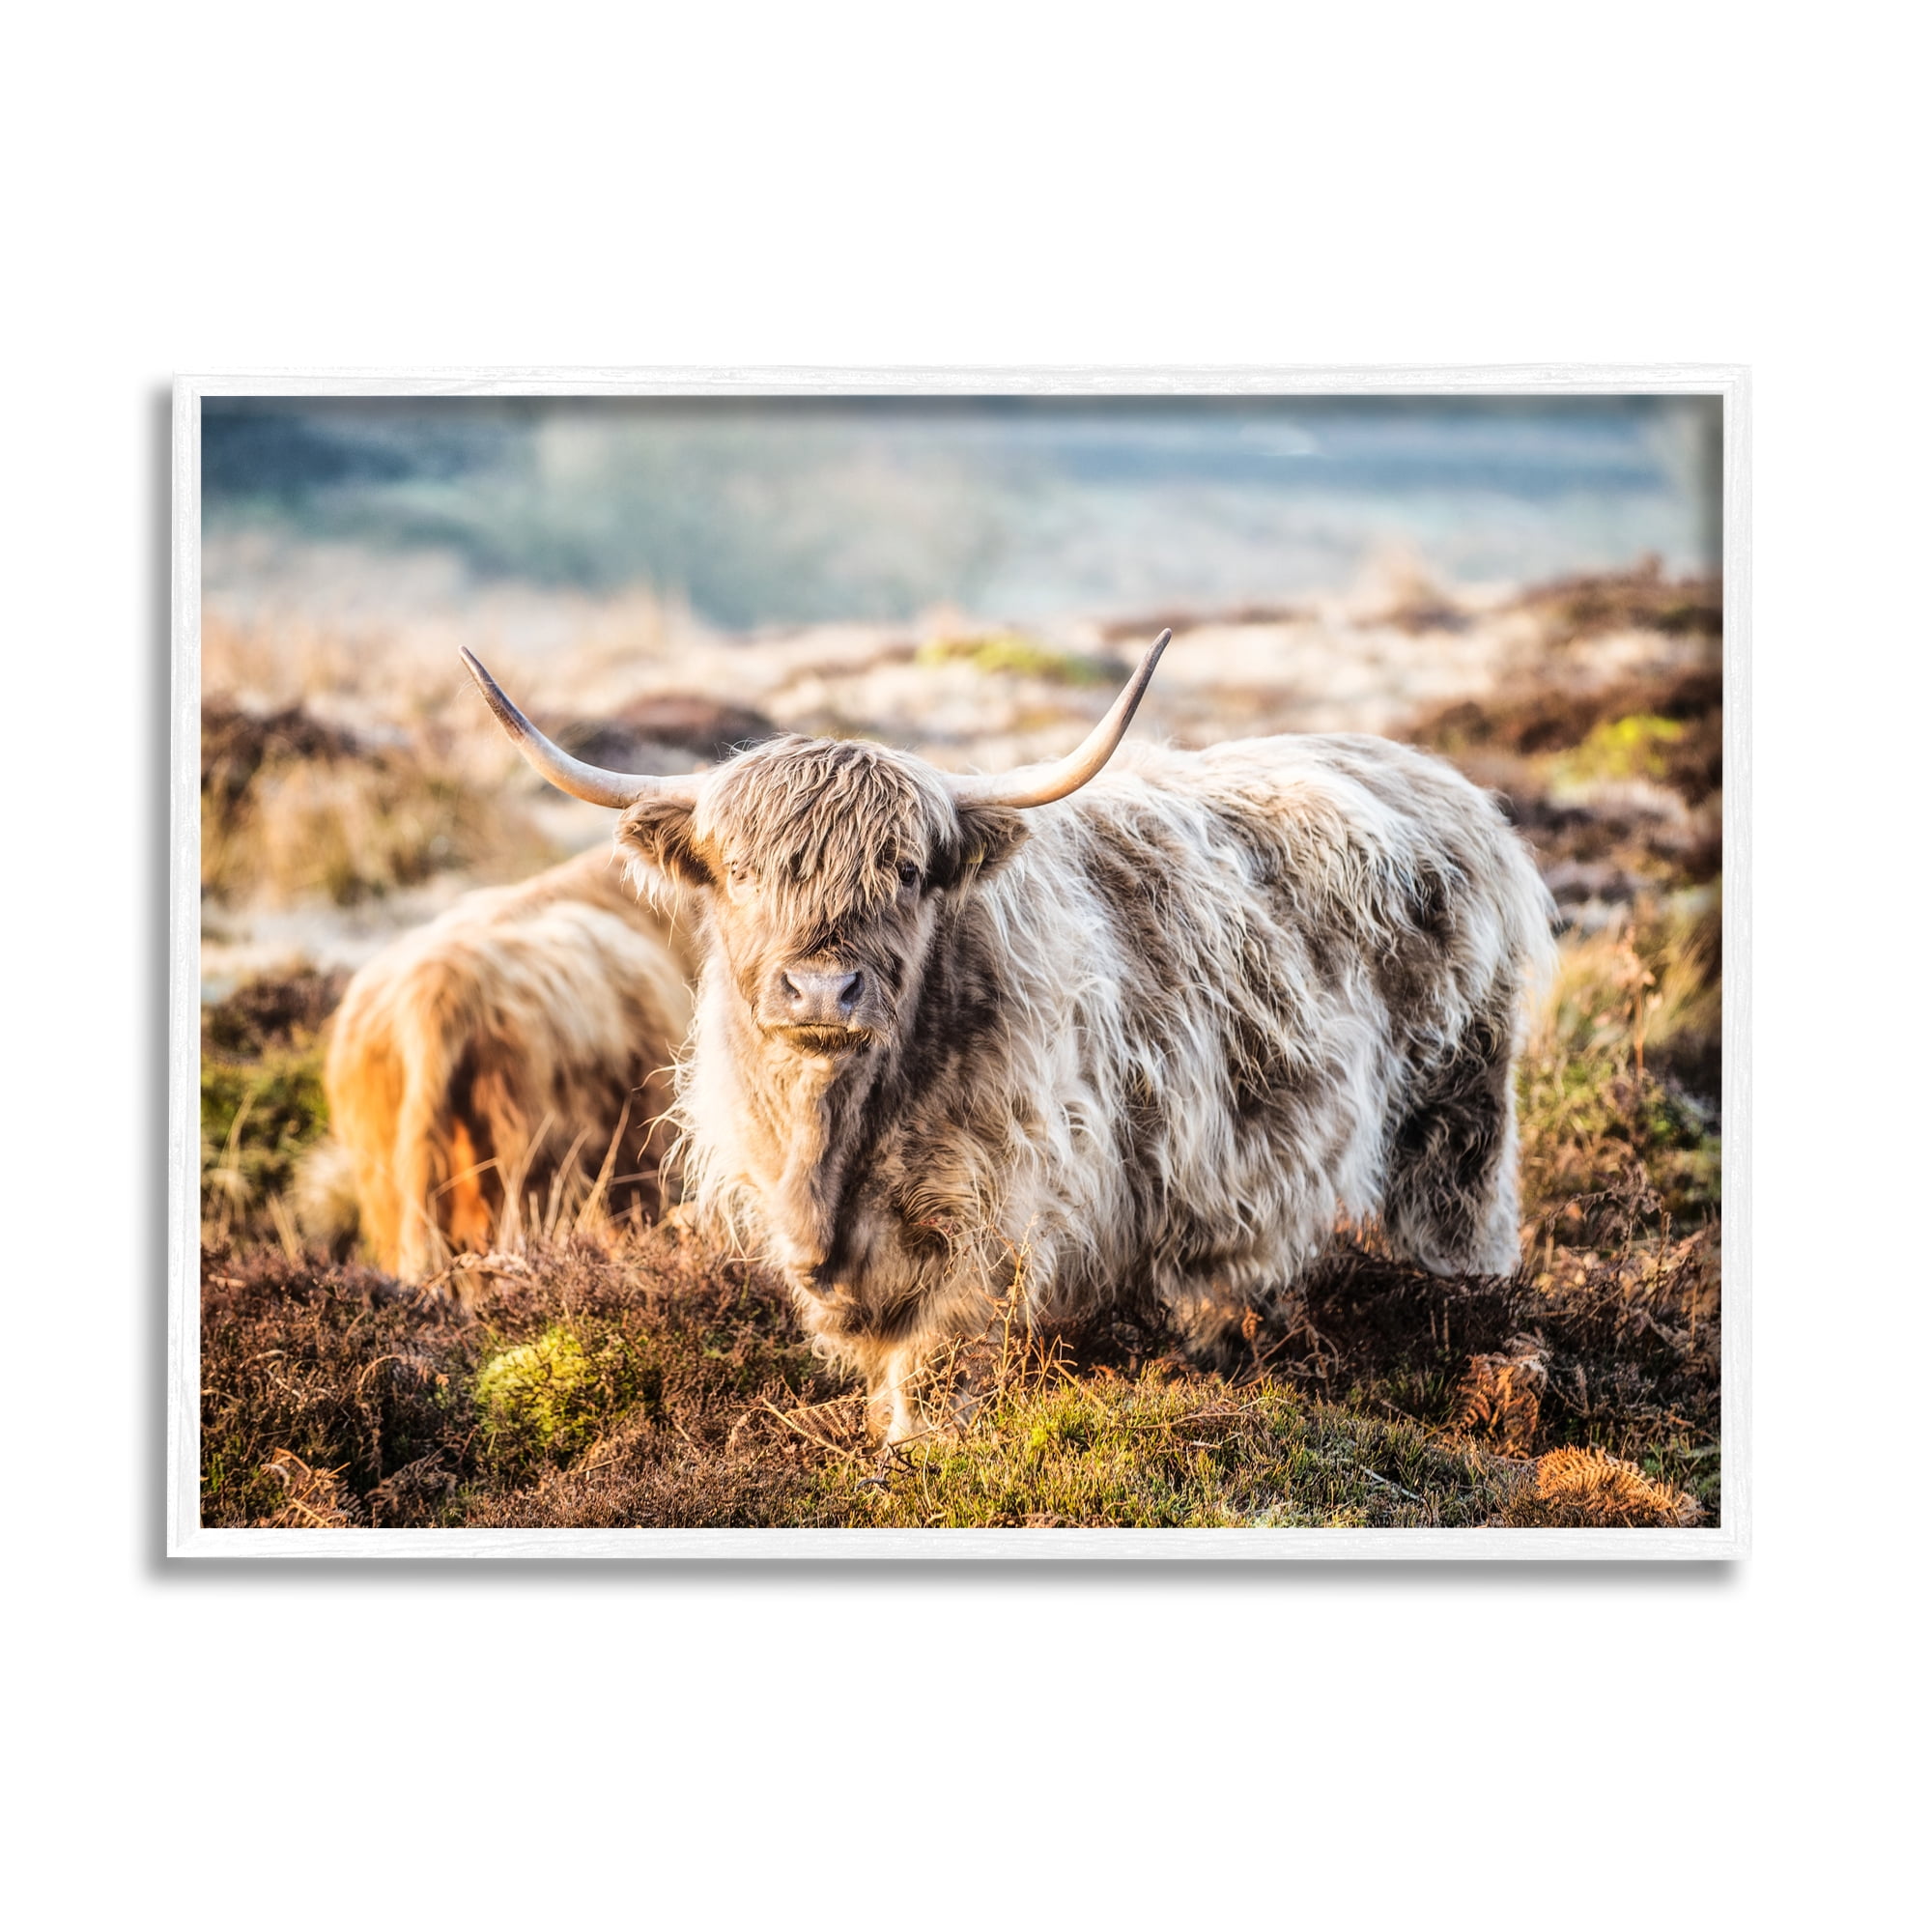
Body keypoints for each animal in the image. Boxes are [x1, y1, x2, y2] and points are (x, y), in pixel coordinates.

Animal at [460, 633, 1556, 1438]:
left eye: (906, 871)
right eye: (736, 870)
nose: (821, 987)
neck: (835, 1139)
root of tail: (1442, 782)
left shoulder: (987, 1217)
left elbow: (940, 1361)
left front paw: (918, 1452)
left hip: (1458, 1114)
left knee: (1458, 1224)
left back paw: (1481, 1337)